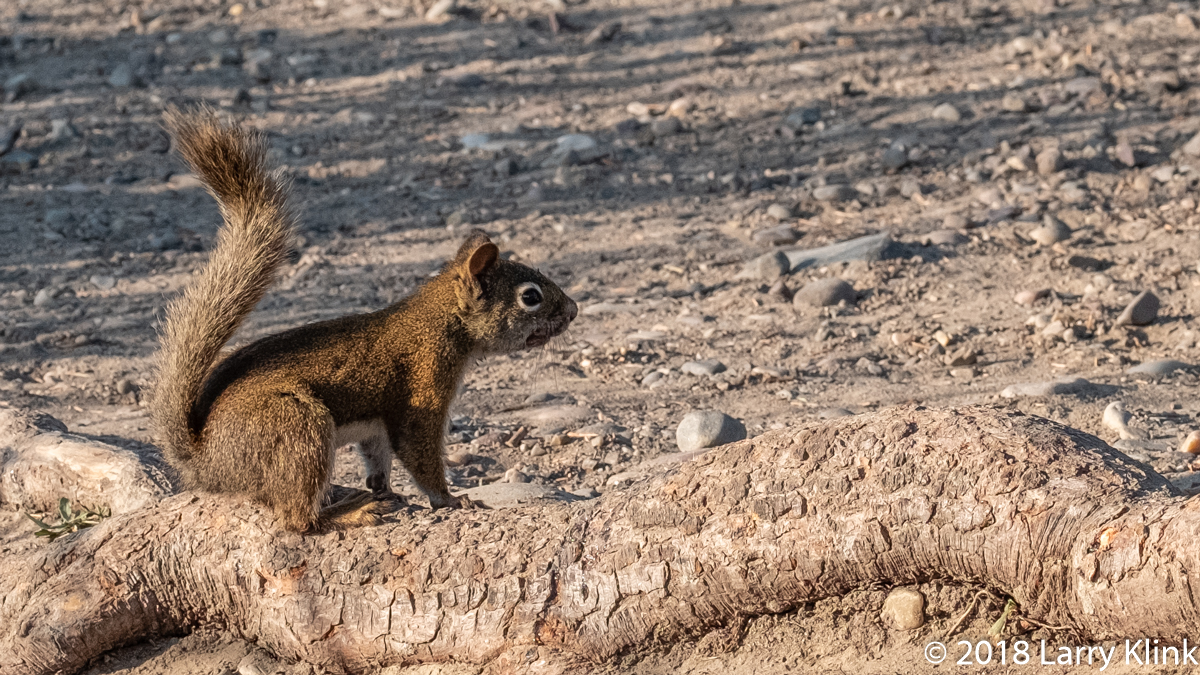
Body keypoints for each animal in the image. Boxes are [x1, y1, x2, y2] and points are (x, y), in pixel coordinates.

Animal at [152, 108, 578, 533]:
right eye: (530, 297)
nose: (573, 310)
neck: (440, 320)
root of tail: (206, 463)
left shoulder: (377, 428)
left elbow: (378, 457)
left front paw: (384, 488)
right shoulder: (422, 388)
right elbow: (418, 452)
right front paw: (451, 499)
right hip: (297, 427)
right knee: (298, 520)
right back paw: (350, 512)